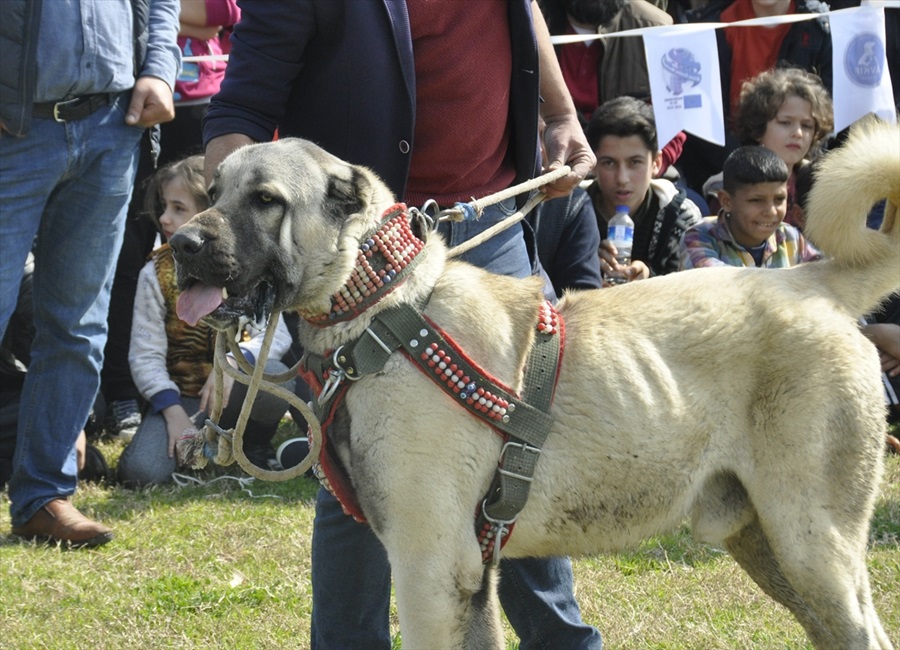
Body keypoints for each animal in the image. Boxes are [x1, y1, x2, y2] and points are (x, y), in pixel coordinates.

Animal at [172, 117, 896, 648]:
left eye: (266, 201)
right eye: (213, 194)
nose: (178, 243)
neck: (383, 310)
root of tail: (807, 280)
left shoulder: (431, 570)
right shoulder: (465, 578)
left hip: (811, 543)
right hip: (769, 545)